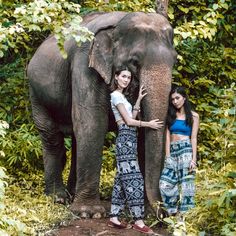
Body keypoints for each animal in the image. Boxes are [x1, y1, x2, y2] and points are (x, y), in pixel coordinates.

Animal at [26, 0, 176, 218]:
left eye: (175, 61)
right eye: (134, 61)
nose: (163, 214)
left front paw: (145, 212)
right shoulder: (84, 64)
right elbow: (93, 122)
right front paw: (89, 213)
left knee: (76, 139)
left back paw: (72, 194)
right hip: (36, 93)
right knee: (52, 138)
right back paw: (59, 198)